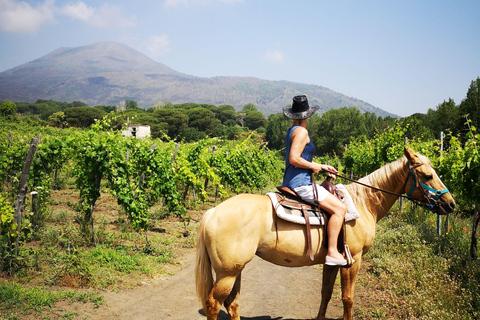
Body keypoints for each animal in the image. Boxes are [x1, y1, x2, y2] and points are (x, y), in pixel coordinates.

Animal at [194, 147, 454, 318]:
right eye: (428, 176)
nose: (450, 204)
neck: (363, 203)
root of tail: (213, 212)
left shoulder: (332, 262)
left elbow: (326, 293)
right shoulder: (353, 260)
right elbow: (348, 298)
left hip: (235, 270)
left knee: (232, 304)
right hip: (227, 272)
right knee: (214, 304)